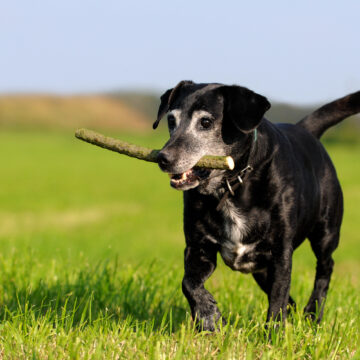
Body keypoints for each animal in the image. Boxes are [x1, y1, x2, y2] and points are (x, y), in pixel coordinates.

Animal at [153, 80, 360, 330]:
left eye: (206, 122)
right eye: (171, 120)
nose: (163, 158)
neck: (231, 186)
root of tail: (306, 131)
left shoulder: (281, 252)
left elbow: (278, 299)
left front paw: (274, 335)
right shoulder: (198, 247)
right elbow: (188, 283)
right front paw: (209, 315)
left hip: (325, 232)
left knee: (325, 267)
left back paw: (313, 314)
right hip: (260, 269)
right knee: (289, 297)